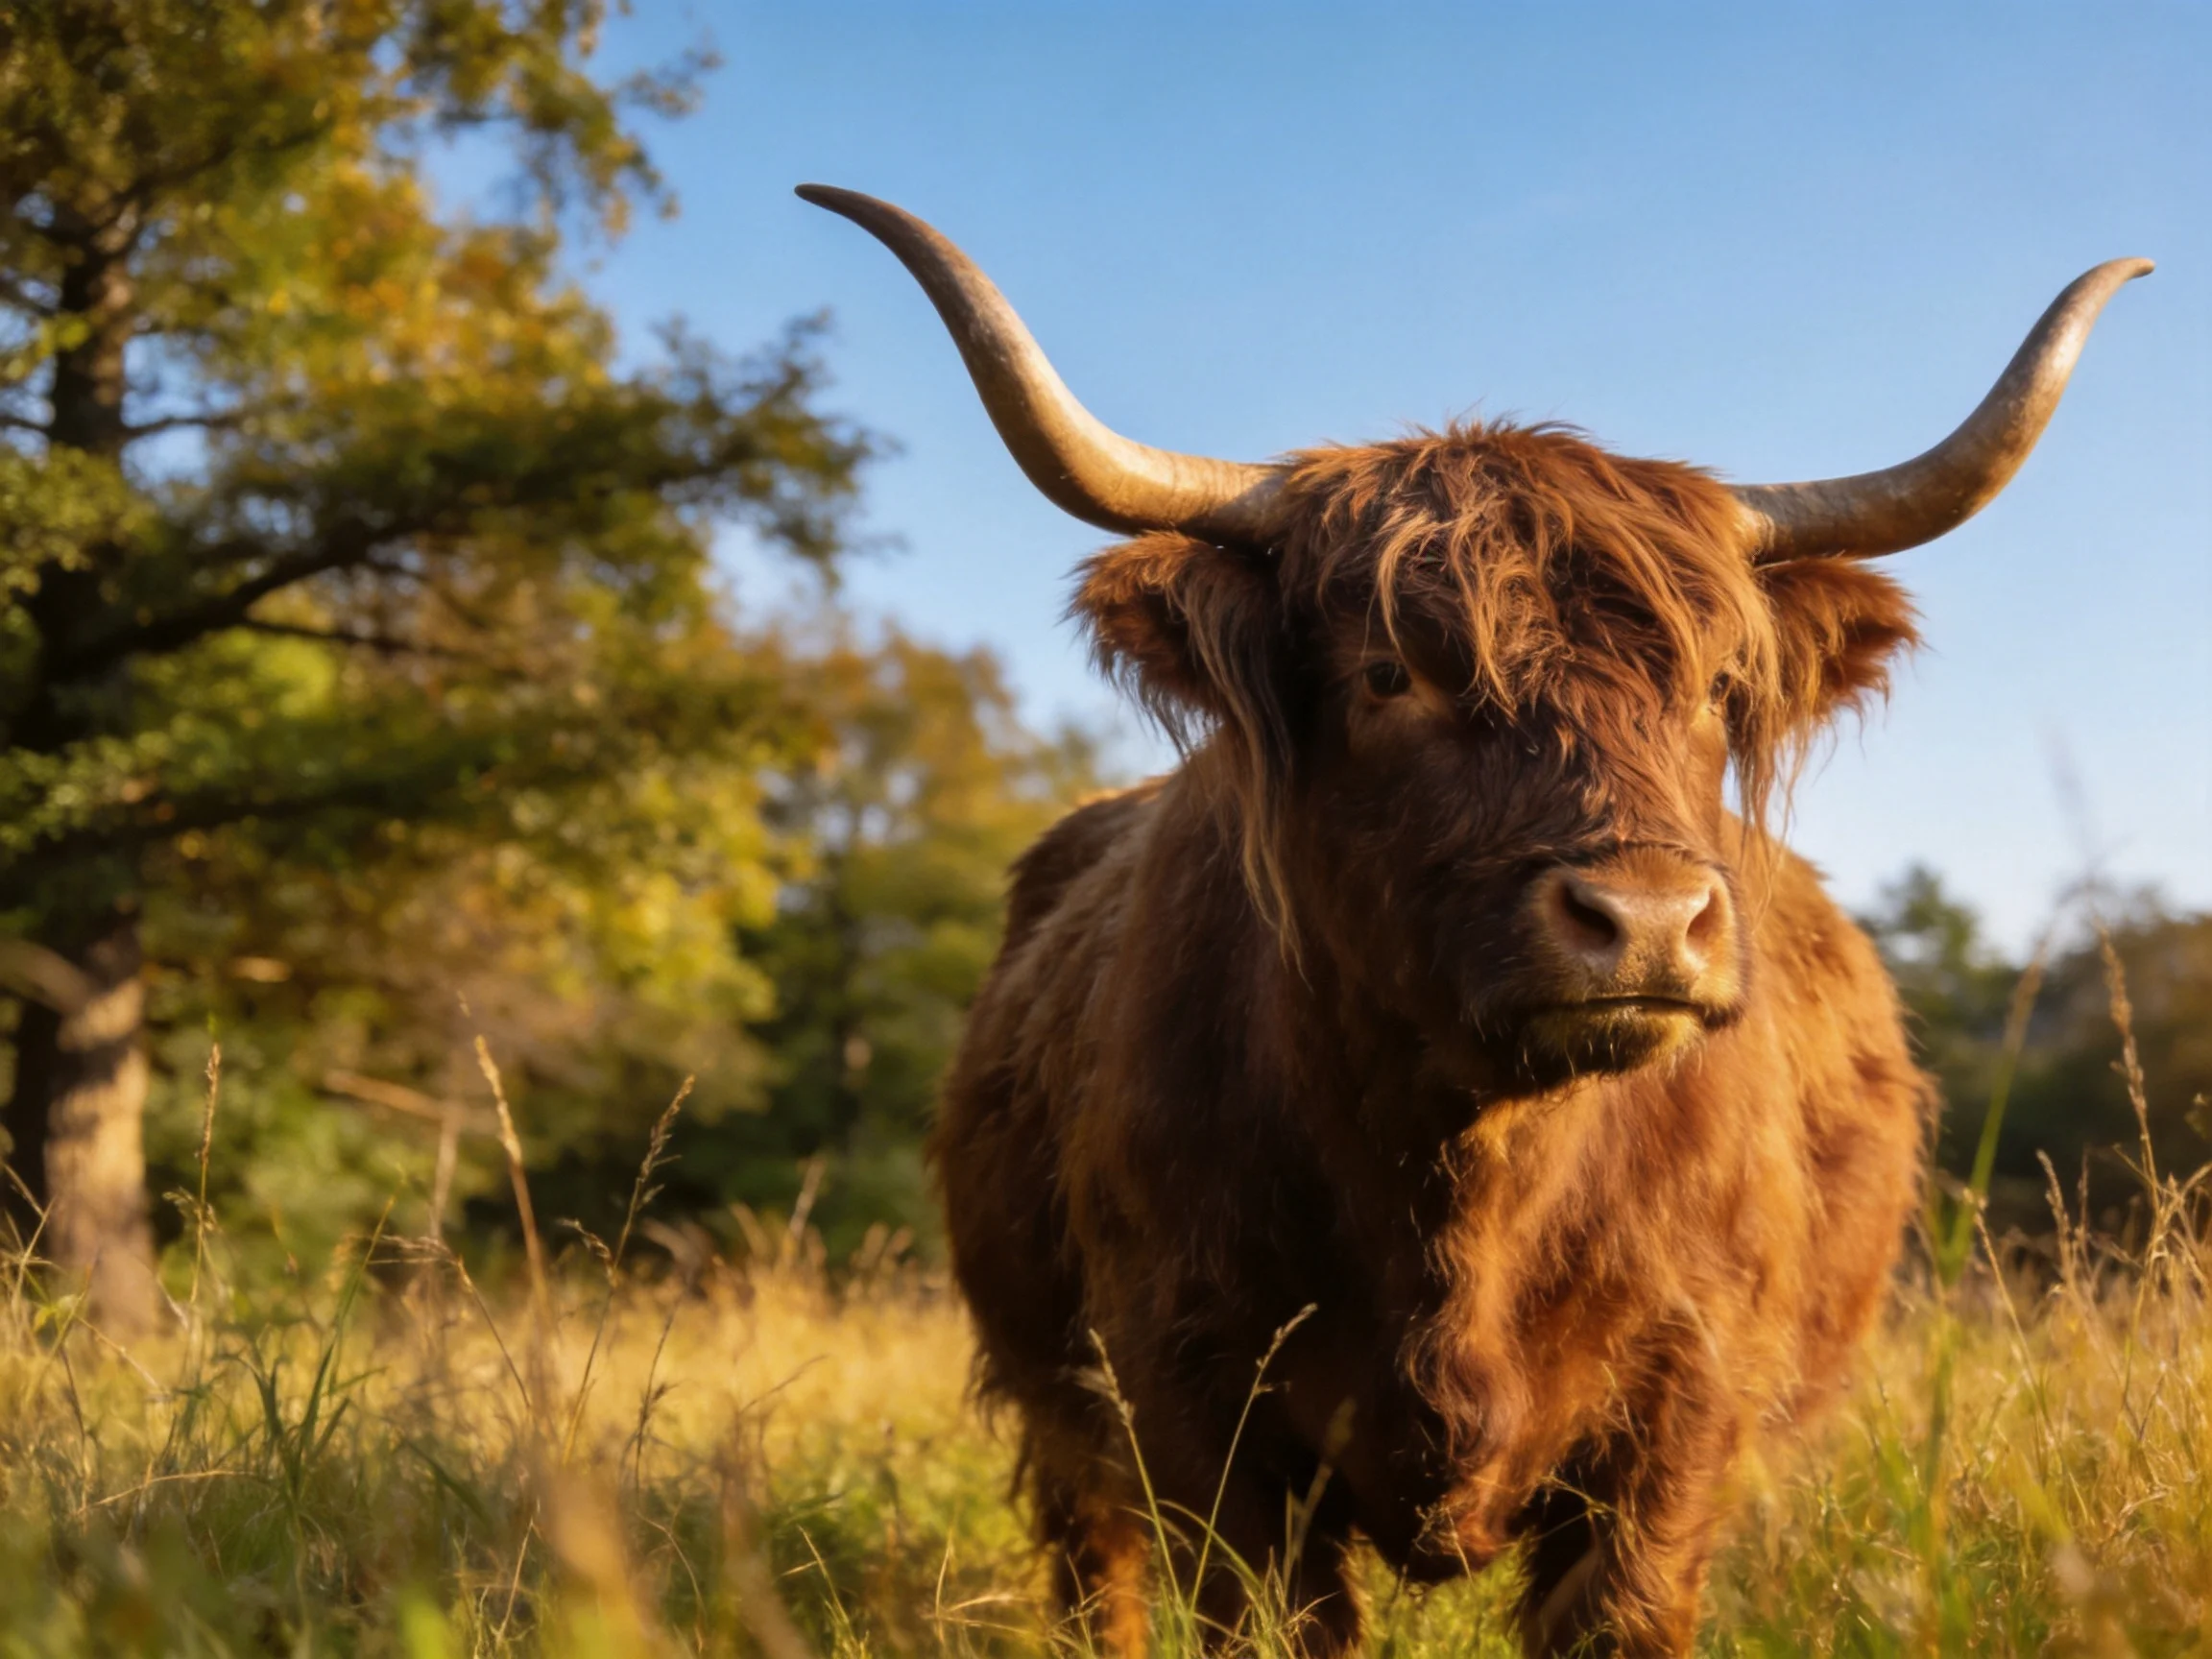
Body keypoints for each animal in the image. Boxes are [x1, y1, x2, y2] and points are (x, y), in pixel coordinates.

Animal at [798, 184, 2147, 1657]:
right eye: (1391, 673)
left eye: (1711, 686)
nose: (1649, 919)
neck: (1465, 1173)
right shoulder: (1189, 1396)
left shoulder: (1680, 1412)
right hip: (1058, 1405)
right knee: (1094, 1571)